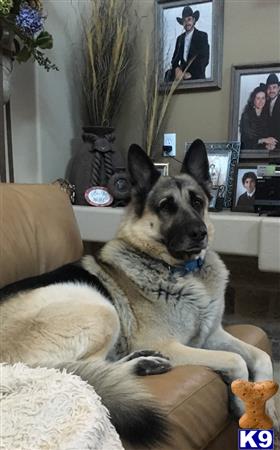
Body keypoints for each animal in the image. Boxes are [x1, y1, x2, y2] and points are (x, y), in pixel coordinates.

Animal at [0, 140, 278, 446]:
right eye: (166, 206)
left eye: (197, 202)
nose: (200, 233)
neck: (182, 271)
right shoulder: (176, 346)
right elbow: (236, 359)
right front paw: (243, 405)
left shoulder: (212, 335)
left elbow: (261, 356)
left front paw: (268, 411)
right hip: (101, 310)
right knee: (81, 371)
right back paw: (142, 364)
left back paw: (142, 361)